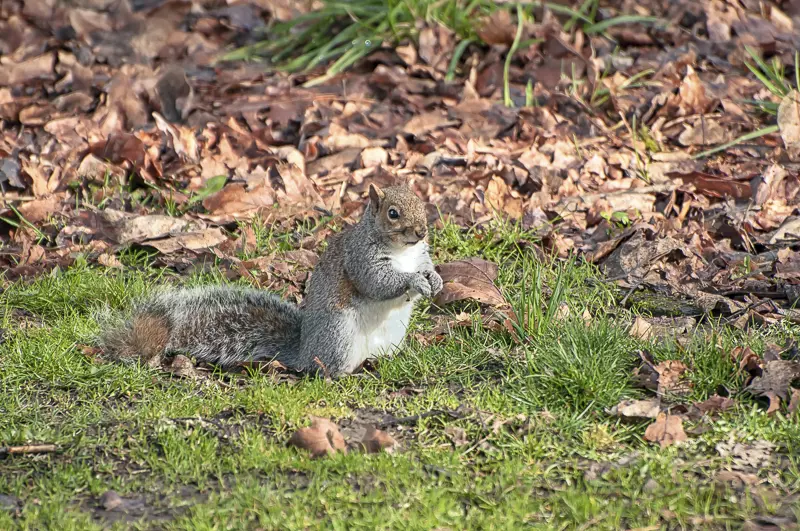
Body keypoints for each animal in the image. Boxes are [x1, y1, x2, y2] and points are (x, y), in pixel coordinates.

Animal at [100, 183, 444, 377]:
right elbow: (378, 282)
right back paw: (346, 374)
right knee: (324, 370)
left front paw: (435, 279)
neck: (403, 251)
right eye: (393, 213)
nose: (421, 231)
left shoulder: (420, 254)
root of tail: (302, 351)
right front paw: (415, 281)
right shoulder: (360, 258)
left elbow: (426, 265)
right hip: (339, 335)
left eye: (421, 203)